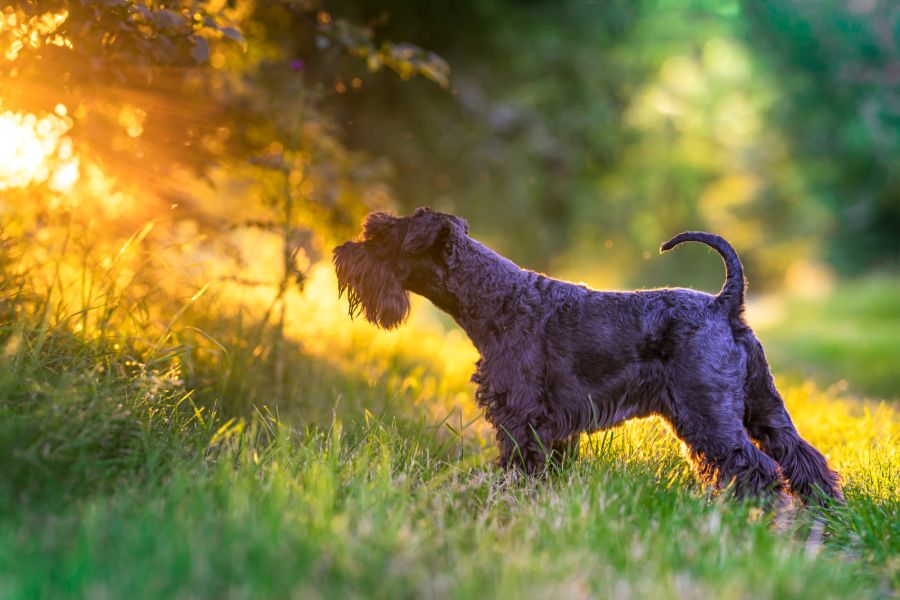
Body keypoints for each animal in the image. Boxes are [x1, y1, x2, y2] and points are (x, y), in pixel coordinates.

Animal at [332, 206, 844, 502]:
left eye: (379, 237)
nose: (341, 255)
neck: (496, 296)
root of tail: (725, 304)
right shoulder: (553, 426)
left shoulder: (521, 416)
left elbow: (518, 465)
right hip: (763, 407)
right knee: (802, 458)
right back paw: (824, 515)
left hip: (708, 415)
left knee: (754, 467)